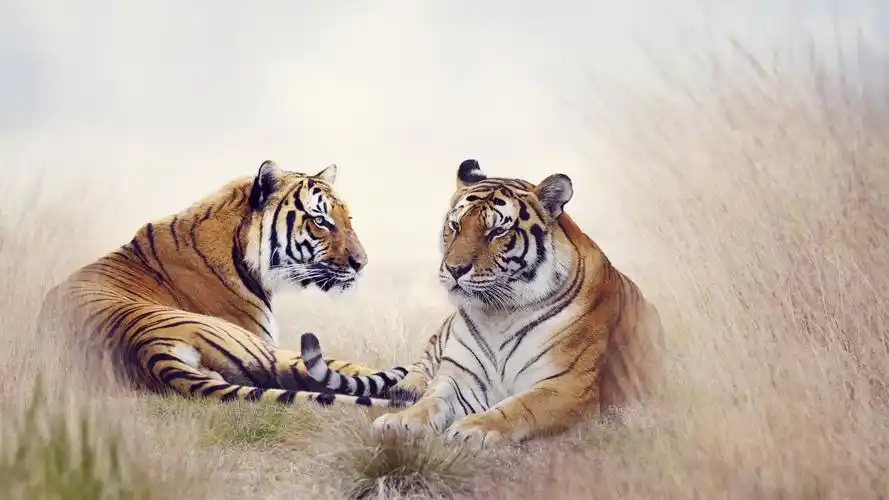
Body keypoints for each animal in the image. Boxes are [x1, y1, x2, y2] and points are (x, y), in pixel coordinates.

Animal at [299, 158, 666, 448]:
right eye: (455, 225)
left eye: (497, 232)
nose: (454, 269)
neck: (499, 313)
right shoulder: (459, 376)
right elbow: (432, 400)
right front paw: (400, 421)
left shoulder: (566, 385)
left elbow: (519, 407)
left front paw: (473, 429)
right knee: (418, 371)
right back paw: (405, 391)